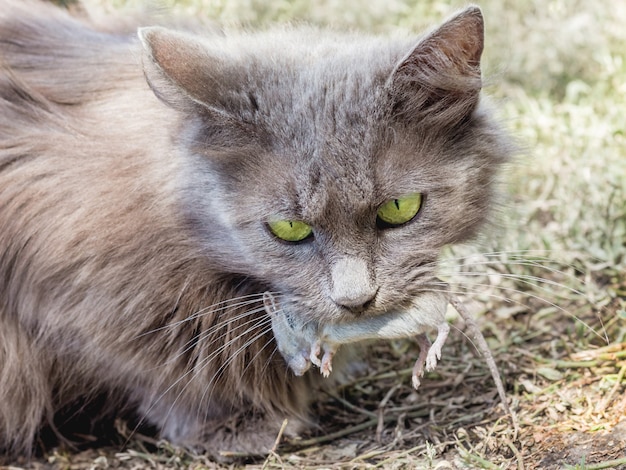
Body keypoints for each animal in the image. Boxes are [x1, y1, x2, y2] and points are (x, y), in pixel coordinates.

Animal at [0, 0, 510, 458]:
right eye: (289, 228)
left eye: (400, 209)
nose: (355, 301)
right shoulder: (60, 275)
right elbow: (158, 373)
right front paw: (238, 426)